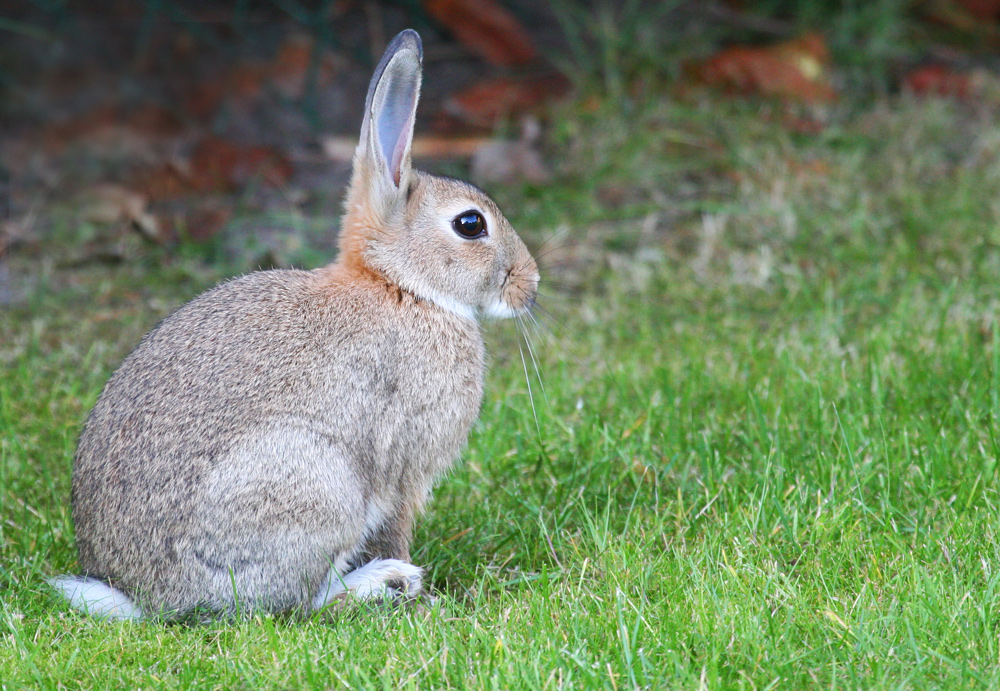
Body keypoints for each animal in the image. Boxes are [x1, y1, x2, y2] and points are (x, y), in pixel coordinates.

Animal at [48, 28, 540, 620]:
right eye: (471, 224)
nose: (531, 284)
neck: (399, 286)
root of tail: (146, 597)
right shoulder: (403, 467)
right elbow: (396, 524)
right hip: (316, 487)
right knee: (296, 603)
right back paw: (383, 582)